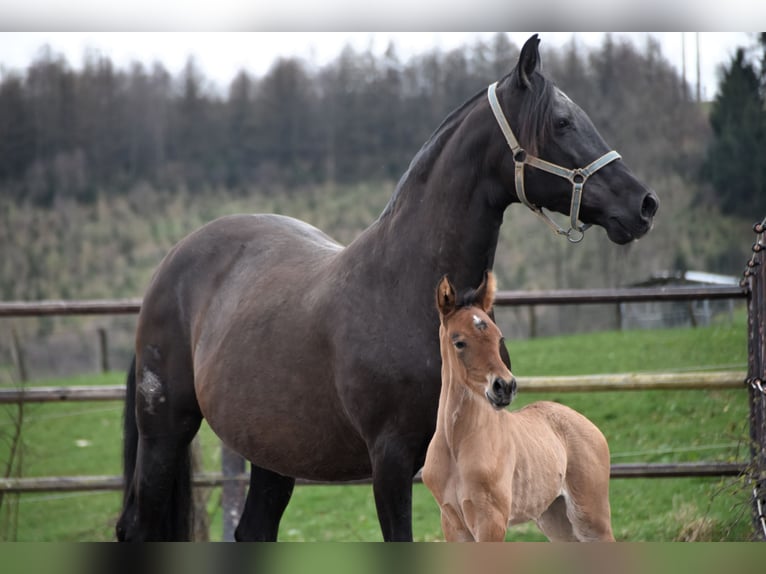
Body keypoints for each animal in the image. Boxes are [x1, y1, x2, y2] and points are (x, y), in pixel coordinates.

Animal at [424, 274, 616, 544]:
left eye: (499, 338)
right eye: (459, 342)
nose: (505, 386)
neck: (456, 445)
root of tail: (588, 425)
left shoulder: (491, 521)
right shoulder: (452, 523)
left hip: (591, 517)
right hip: (555, 518)